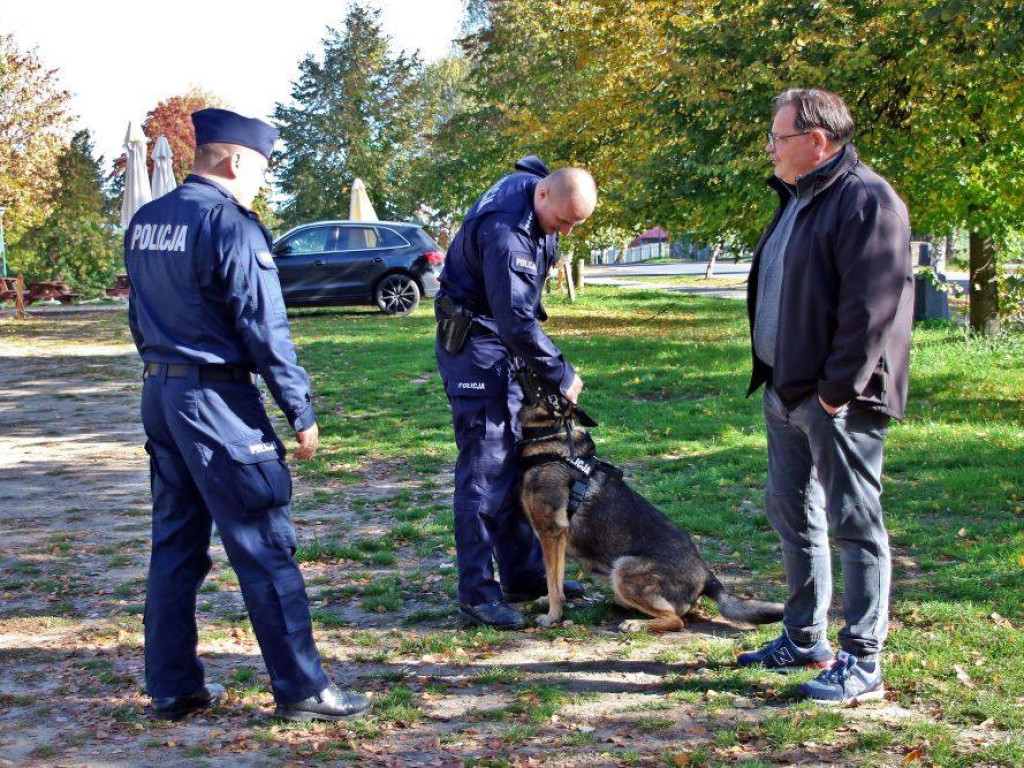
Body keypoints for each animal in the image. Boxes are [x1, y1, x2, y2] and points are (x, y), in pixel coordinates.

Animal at [512, 370, 782, 634]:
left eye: (550, 395)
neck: (550, 436)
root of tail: (707, 576)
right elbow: (554, 578)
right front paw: (546, 601)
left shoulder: (553, 533)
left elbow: (553, 580)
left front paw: (553, 616)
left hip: (624, 569)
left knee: (676, 620)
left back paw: (636, 624)